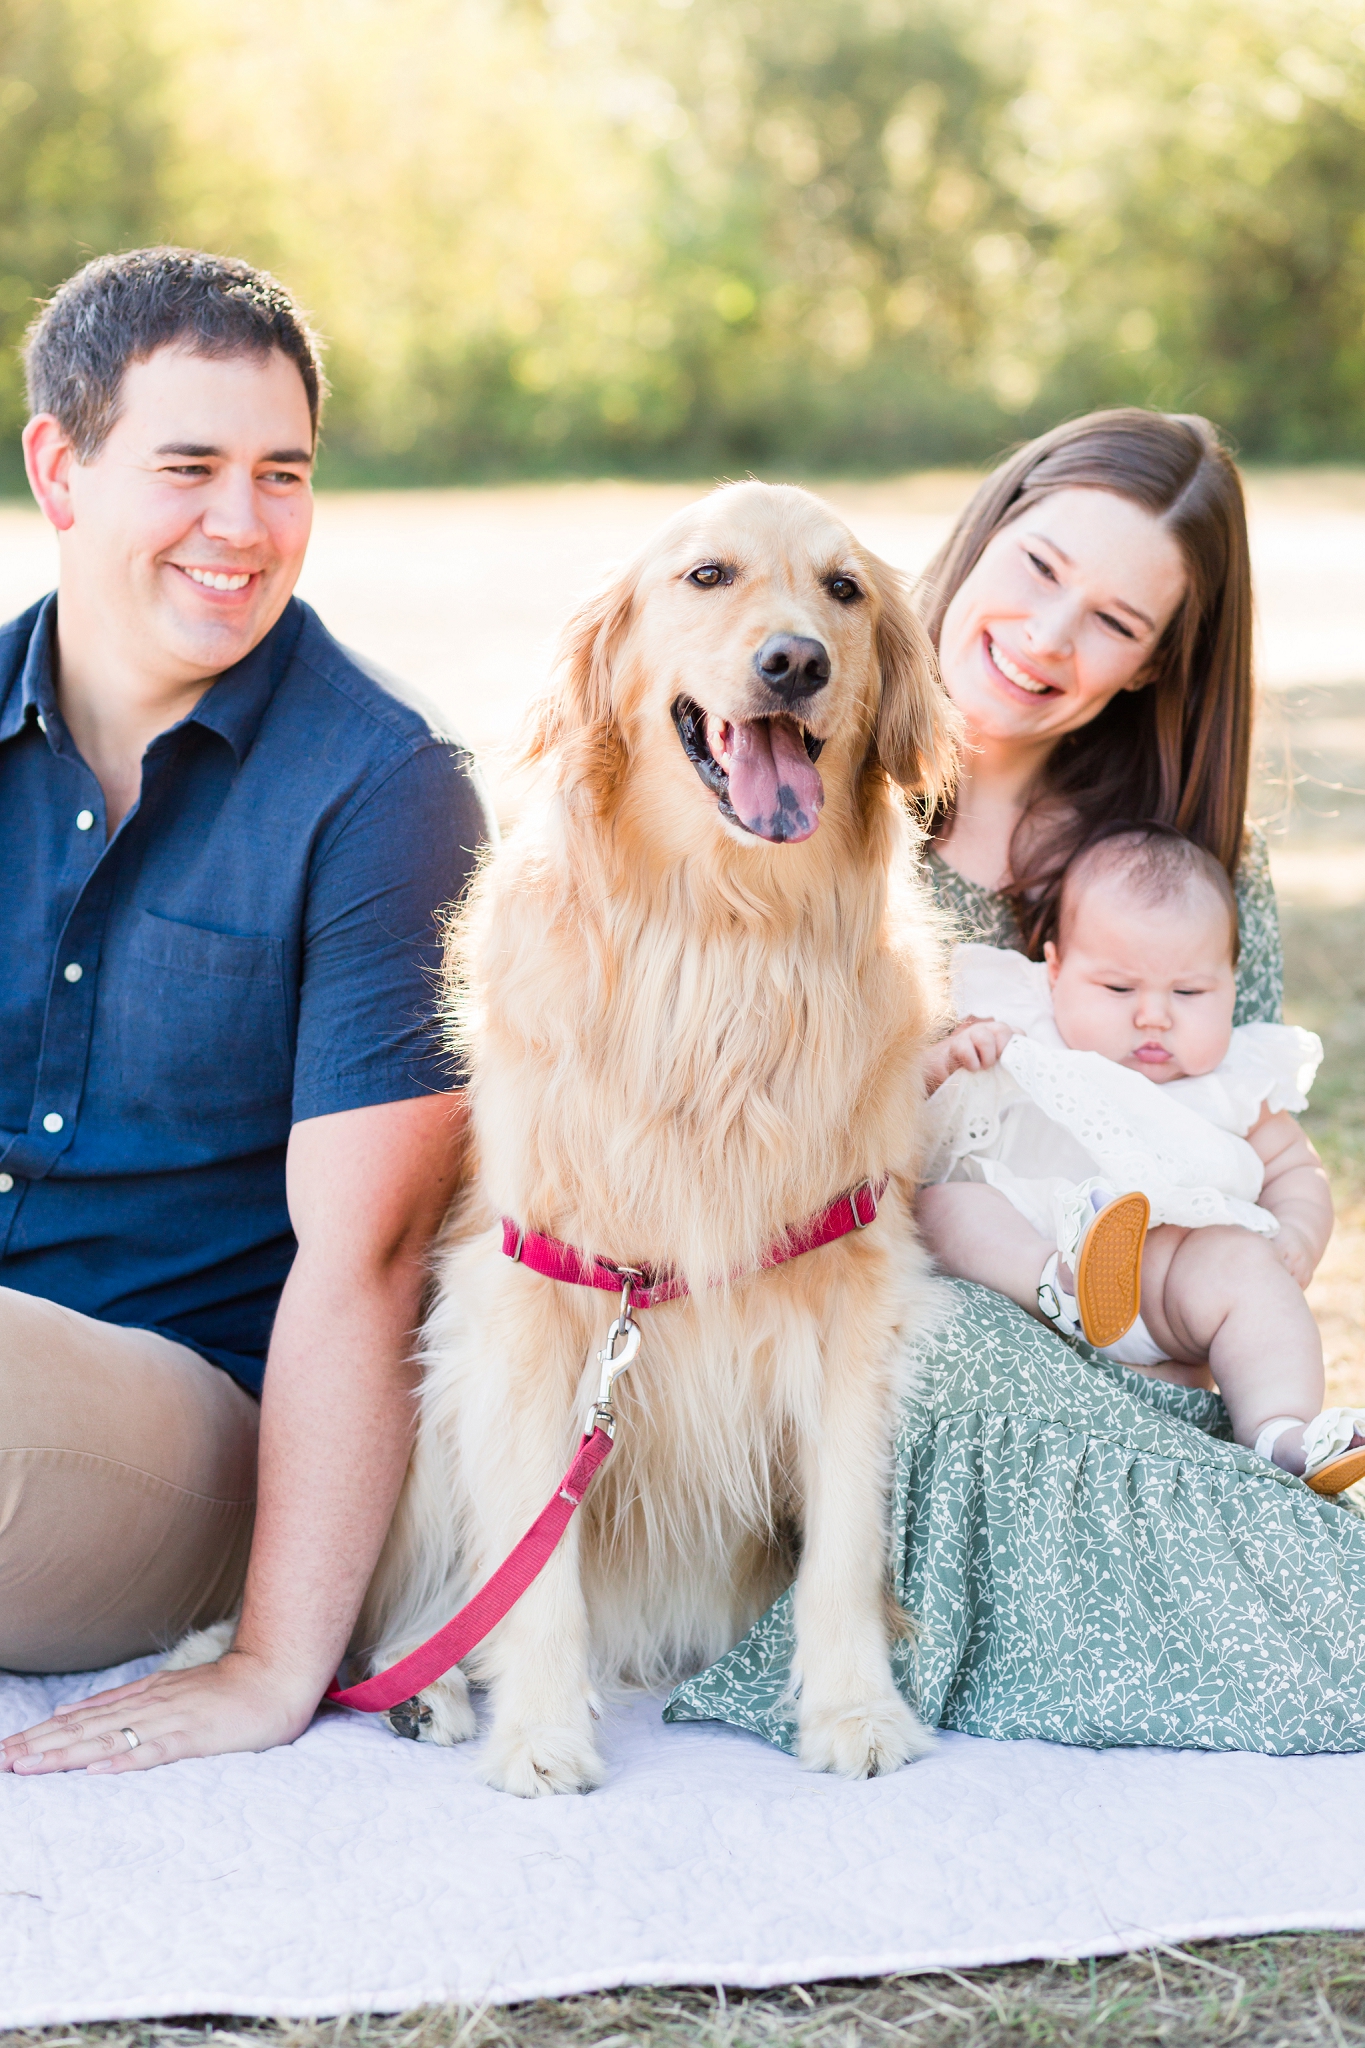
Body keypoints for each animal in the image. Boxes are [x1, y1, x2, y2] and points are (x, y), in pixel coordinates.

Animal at [362, 479, 961, 1794]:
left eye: (845, 590)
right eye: (709, 575)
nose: (796, 661)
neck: (723, 939)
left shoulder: (856, 1287)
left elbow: (845, 1538)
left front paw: (854, 1708)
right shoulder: (531, 1295)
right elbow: (531, 1566)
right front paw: (540, 1731)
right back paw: (424, 1679)